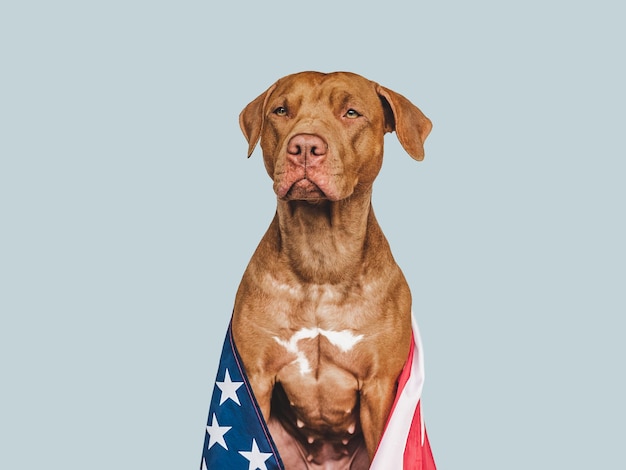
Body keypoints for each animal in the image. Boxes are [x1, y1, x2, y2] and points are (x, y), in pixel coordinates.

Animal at [232, 71, 432, 468]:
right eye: (281, 110)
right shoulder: (255, 378)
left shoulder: (379, 387)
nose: (305, 146)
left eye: (351, 112)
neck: (321, 260)